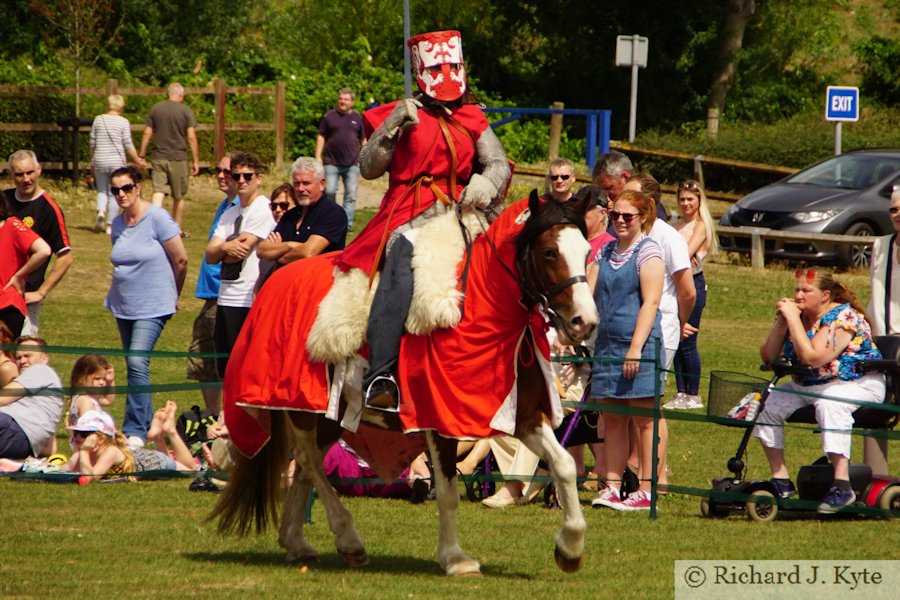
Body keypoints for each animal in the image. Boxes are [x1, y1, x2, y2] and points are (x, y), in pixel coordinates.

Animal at [210, 191, 600, 576]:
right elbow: (447, 491)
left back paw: (297, 542)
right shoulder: (441, 421)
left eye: (586, 251)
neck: (486, 316)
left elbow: (565, 466)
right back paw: (347, 539)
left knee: (308, 465)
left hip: (326, 413)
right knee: (308, 460)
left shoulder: (523, 417)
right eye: (549, 252)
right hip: (302, 404)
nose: (585, 322)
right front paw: (455, 558)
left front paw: (570, 548)